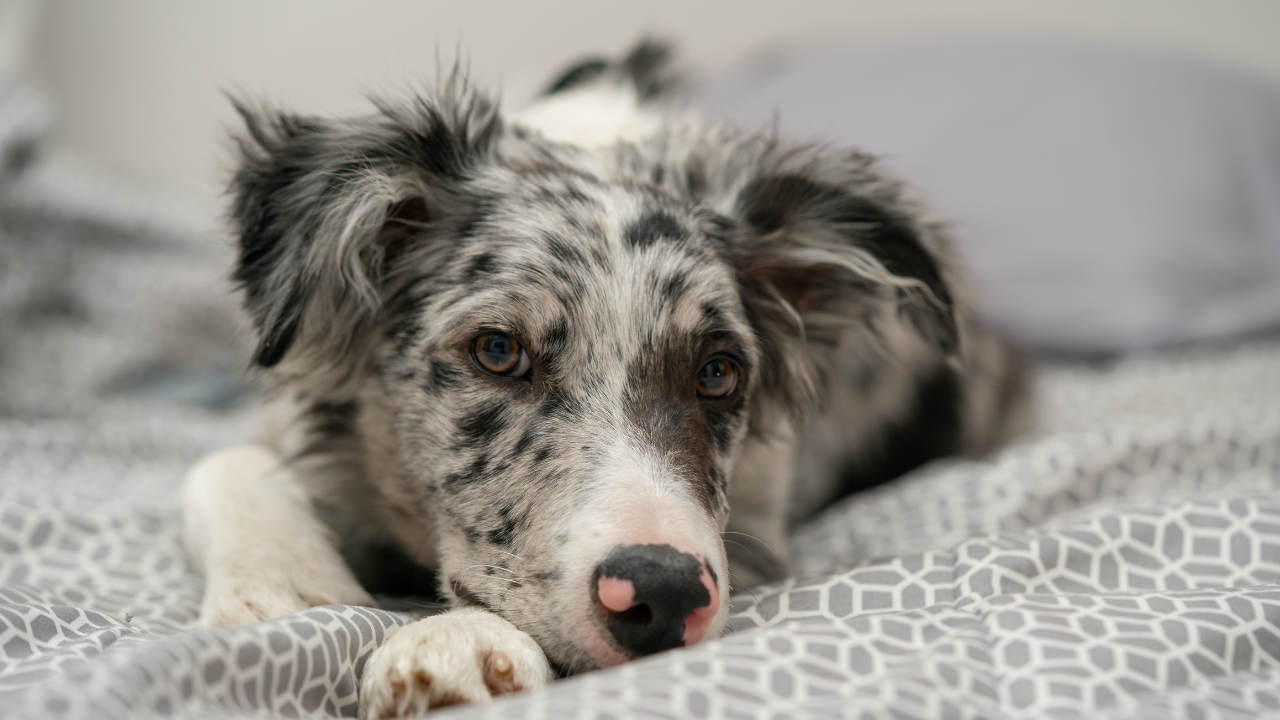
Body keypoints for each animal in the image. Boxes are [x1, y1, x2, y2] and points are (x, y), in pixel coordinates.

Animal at [183, 41, 1029, 712]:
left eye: (718, 373)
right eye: (498, 351)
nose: (664, 595)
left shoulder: (757, 536)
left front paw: (453, 642)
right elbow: (222, 465)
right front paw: (283, 592)